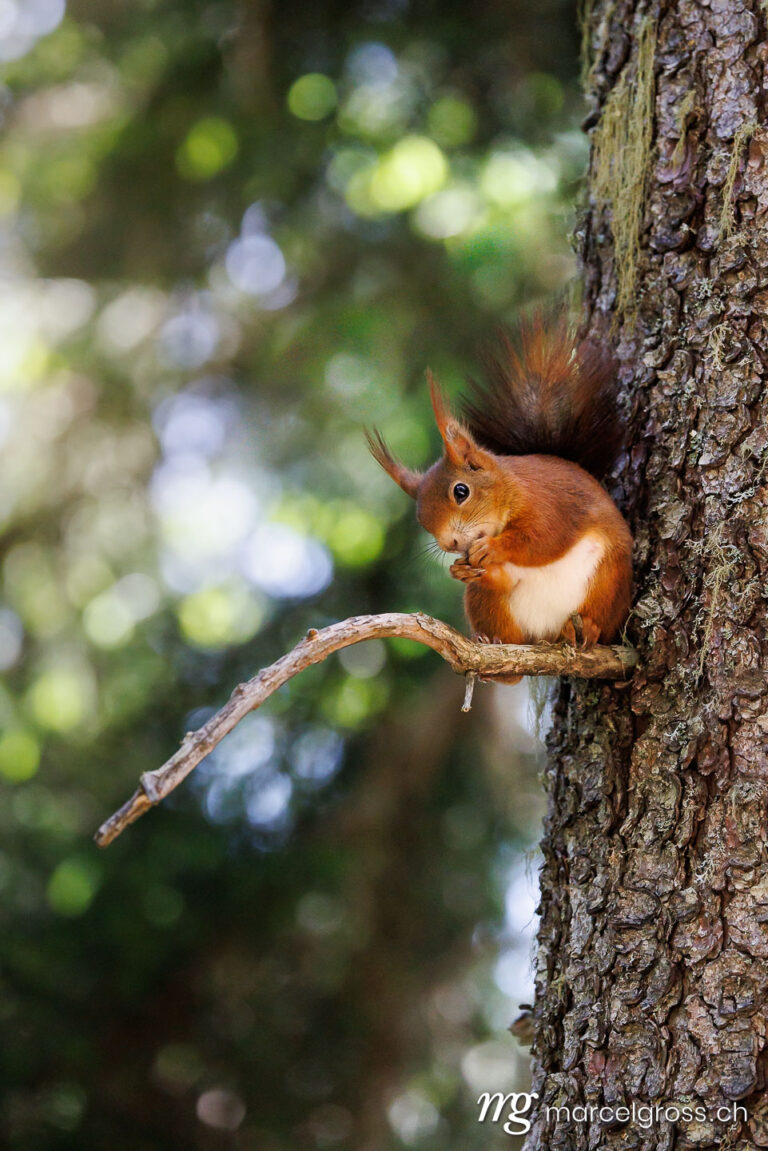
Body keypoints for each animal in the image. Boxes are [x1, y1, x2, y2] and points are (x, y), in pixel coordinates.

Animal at [366, 315, 630, 676]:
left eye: (461, 491)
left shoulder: (550, 503)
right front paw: (460, 569)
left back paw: (586, 629)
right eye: (422, 521)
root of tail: (546, 632)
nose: (450, 544)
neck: (511, 489)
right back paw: (492, 635)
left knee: (597, 621)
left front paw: (493, 548)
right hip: (489, 607)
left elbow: (543, 539)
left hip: (609, 580)